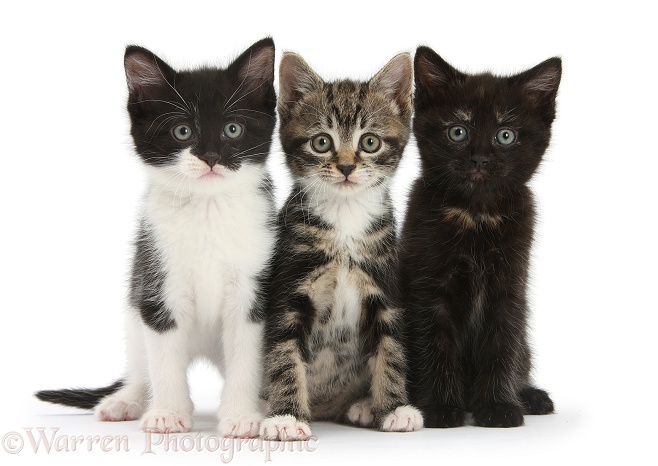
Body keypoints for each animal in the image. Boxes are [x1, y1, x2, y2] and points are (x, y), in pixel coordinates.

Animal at [36, 37, 276, 436]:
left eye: (233, 129)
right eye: (182, 131)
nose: (211, 157)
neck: (207, 209)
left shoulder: (253, 289)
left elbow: (247, 355)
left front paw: (241, 416)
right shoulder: (156, 280)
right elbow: (163, 358)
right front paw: (167, 413)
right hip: (134, 308)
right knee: (140, 364)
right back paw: (126, 399)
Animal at [258, 52, 422, 438]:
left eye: (370, 142)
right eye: (321, 142)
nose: (347, 167)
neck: (345, 220)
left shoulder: (385, 288)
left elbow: (391, 348)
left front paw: (395, 408)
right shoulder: (288, 288)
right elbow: (283, 353)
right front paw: (285, 416)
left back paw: (362, 405)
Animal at [400, 45, 560, 428]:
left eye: (506, 135)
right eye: (458, 132)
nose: (480, 159)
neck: (476, 215)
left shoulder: (509, 287)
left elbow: (503, 345)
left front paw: (499, 407)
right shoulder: (429, 289)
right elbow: (435, 344)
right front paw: (440, 408)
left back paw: (531, 397)